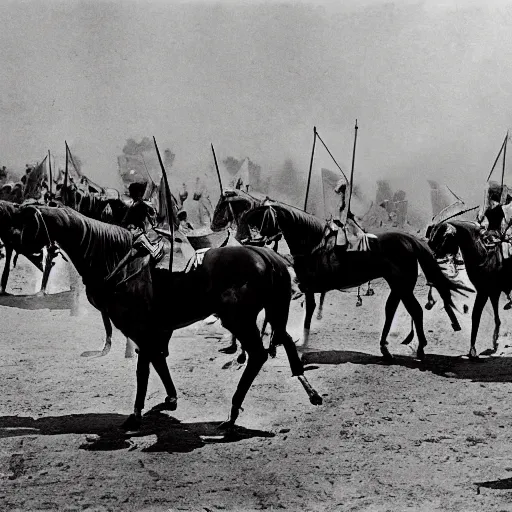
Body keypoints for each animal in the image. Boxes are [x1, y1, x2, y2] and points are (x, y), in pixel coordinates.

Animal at [13, 204, 320, 428]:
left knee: (258, 354)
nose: (16, 245)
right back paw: (308, 389)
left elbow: (144, 369)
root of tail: (267, 256)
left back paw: (233, 412)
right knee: (284, 340)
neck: (119, 261)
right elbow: (157, 361)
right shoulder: (154, 330)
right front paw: (170, 399)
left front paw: (136, 415)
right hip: (273, 311)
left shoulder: (139, 329)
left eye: (28, 224)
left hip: (239, 320)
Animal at [238, 203, 470, 360]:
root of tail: (410, 240)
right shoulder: (308, 288)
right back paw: (385, 348)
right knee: (391, 310)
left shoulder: (307, 286)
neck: (313, 243)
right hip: (397, 285)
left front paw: (282, 344)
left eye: (258, 219)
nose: (245, 241)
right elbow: (306, 311)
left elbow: (295, 312)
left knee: (415, 310)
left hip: (402, 286)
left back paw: (420, 348)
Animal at [428, 218, 512, 358]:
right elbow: (495, 316)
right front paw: (494, 341)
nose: (432, 253)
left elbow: (476, 315)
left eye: (443, 236)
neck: (483, 254)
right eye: (433, 234)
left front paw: (473, 350)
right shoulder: (491, 291)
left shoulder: (484, 292)